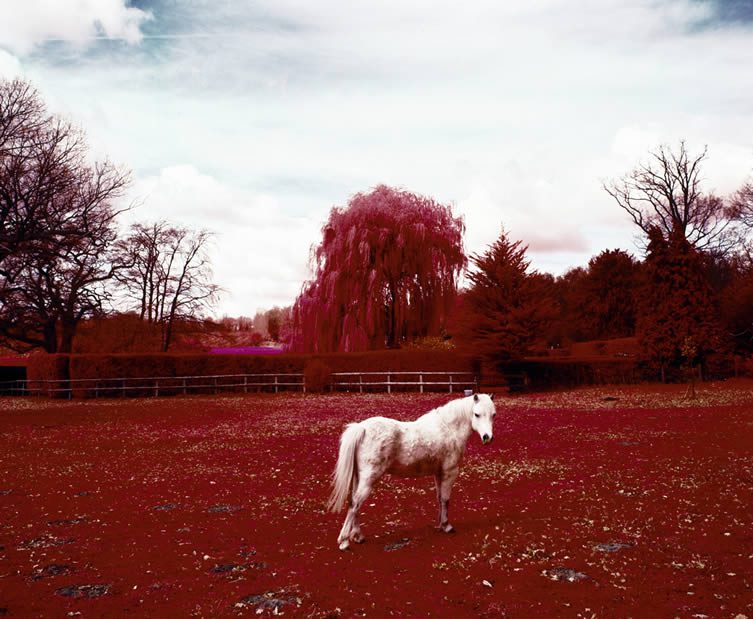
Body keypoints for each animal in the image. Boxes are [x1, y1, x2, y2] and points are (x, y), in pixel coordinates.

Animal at [328, 394, 494, 548]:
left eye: (493, 414)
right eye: (477, 414)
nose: (487, 437)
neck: (448, 429)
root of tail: (362, 428)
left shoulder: (438, 473)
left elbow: (439, 498)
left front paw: (440, 524)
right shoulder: (450, 472)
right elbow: (446, 499)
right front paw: (447, 526)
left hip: (359, 479)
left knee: (354, 503)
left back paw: (358, 536)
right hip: (368, 480)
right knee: (354, 504)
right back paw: (344, 541)